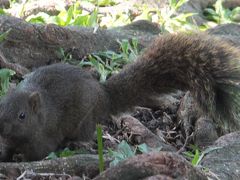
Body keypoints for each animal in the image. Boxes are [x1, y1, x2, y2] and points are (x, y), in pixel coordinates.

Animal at [0, 32, 240, 160]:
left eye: (22, 116)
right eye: (0, 108)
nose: (1, 127)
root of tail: (103, 95)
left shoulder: (43, 139)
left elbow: (38, 154)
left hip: (84, 121)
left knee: (85, 134)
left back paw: (77, 144)